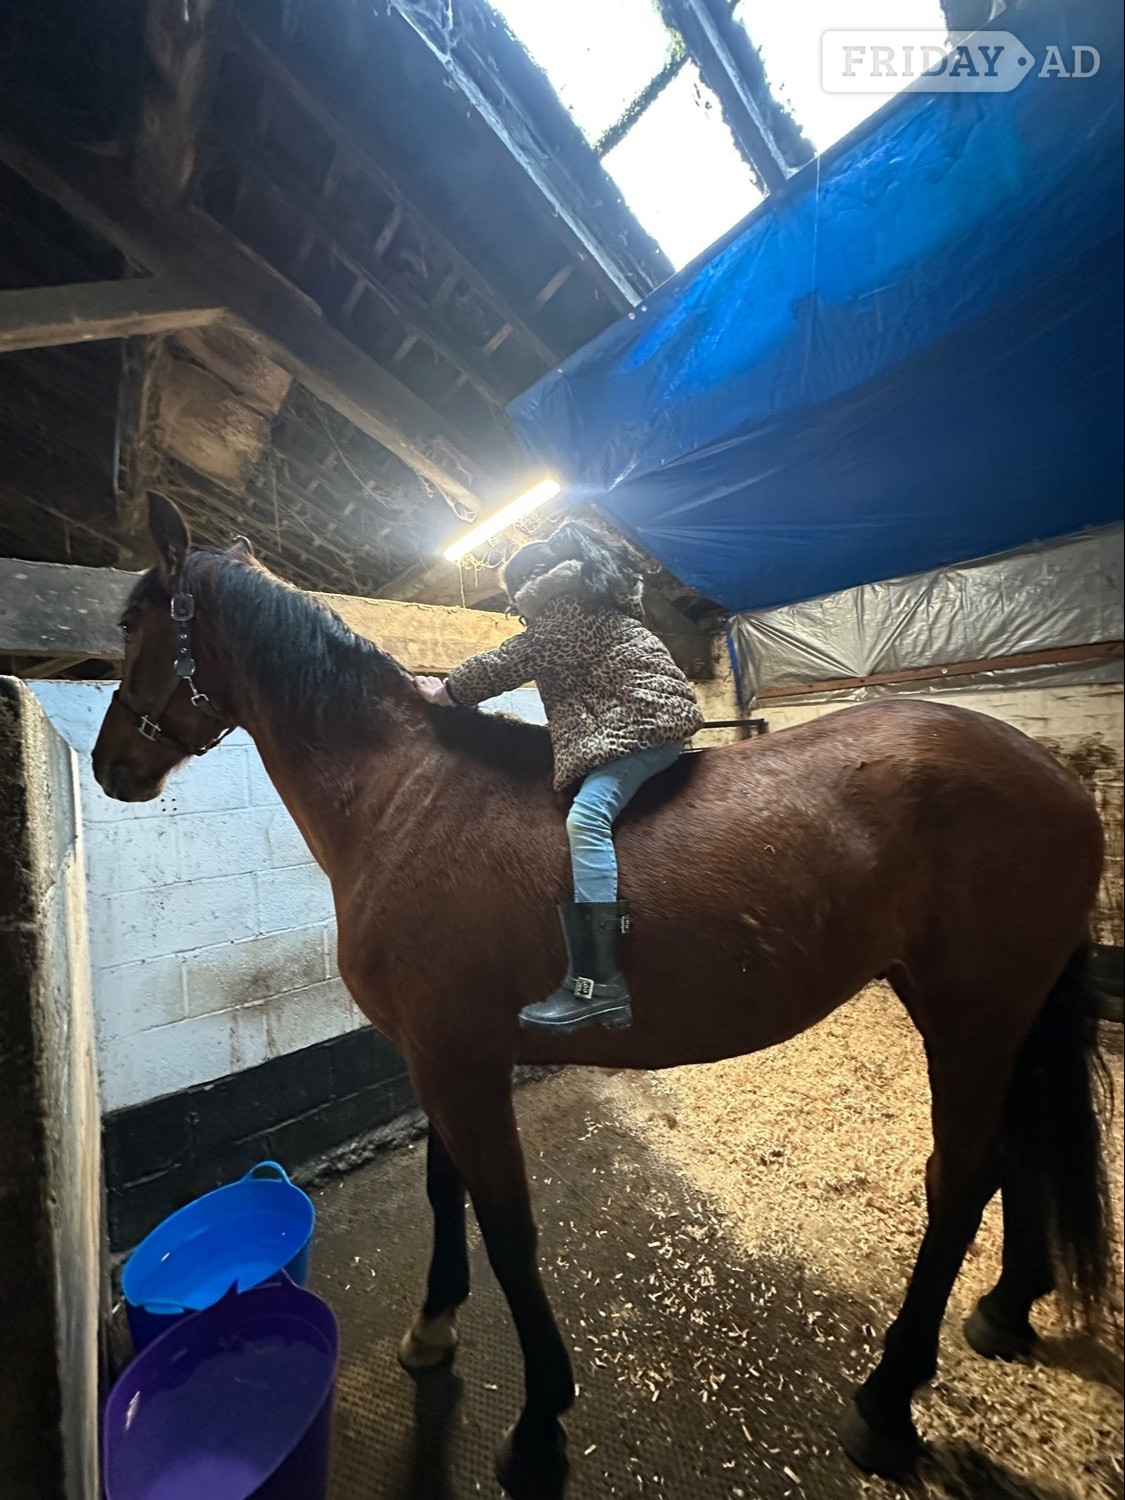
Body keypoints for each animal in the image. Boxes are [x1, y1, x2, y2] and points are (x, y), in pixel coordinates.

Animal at [92, 495, 1115, 1495]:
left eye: (132, 622)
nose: (109, 765)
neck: (405, 799)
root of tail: (1052, 774)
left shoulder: (461, 1064)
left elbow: (508, 1228)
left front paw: (538, 1427)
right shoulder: (437, 1058)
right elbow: (443, 1189)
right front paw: (432, 1327)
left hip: (970, 1016)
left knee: (962, 1179)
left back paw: (887, 1403)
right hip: (993, 1016)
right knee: (1018, 1155)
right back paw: (1004, 1309)